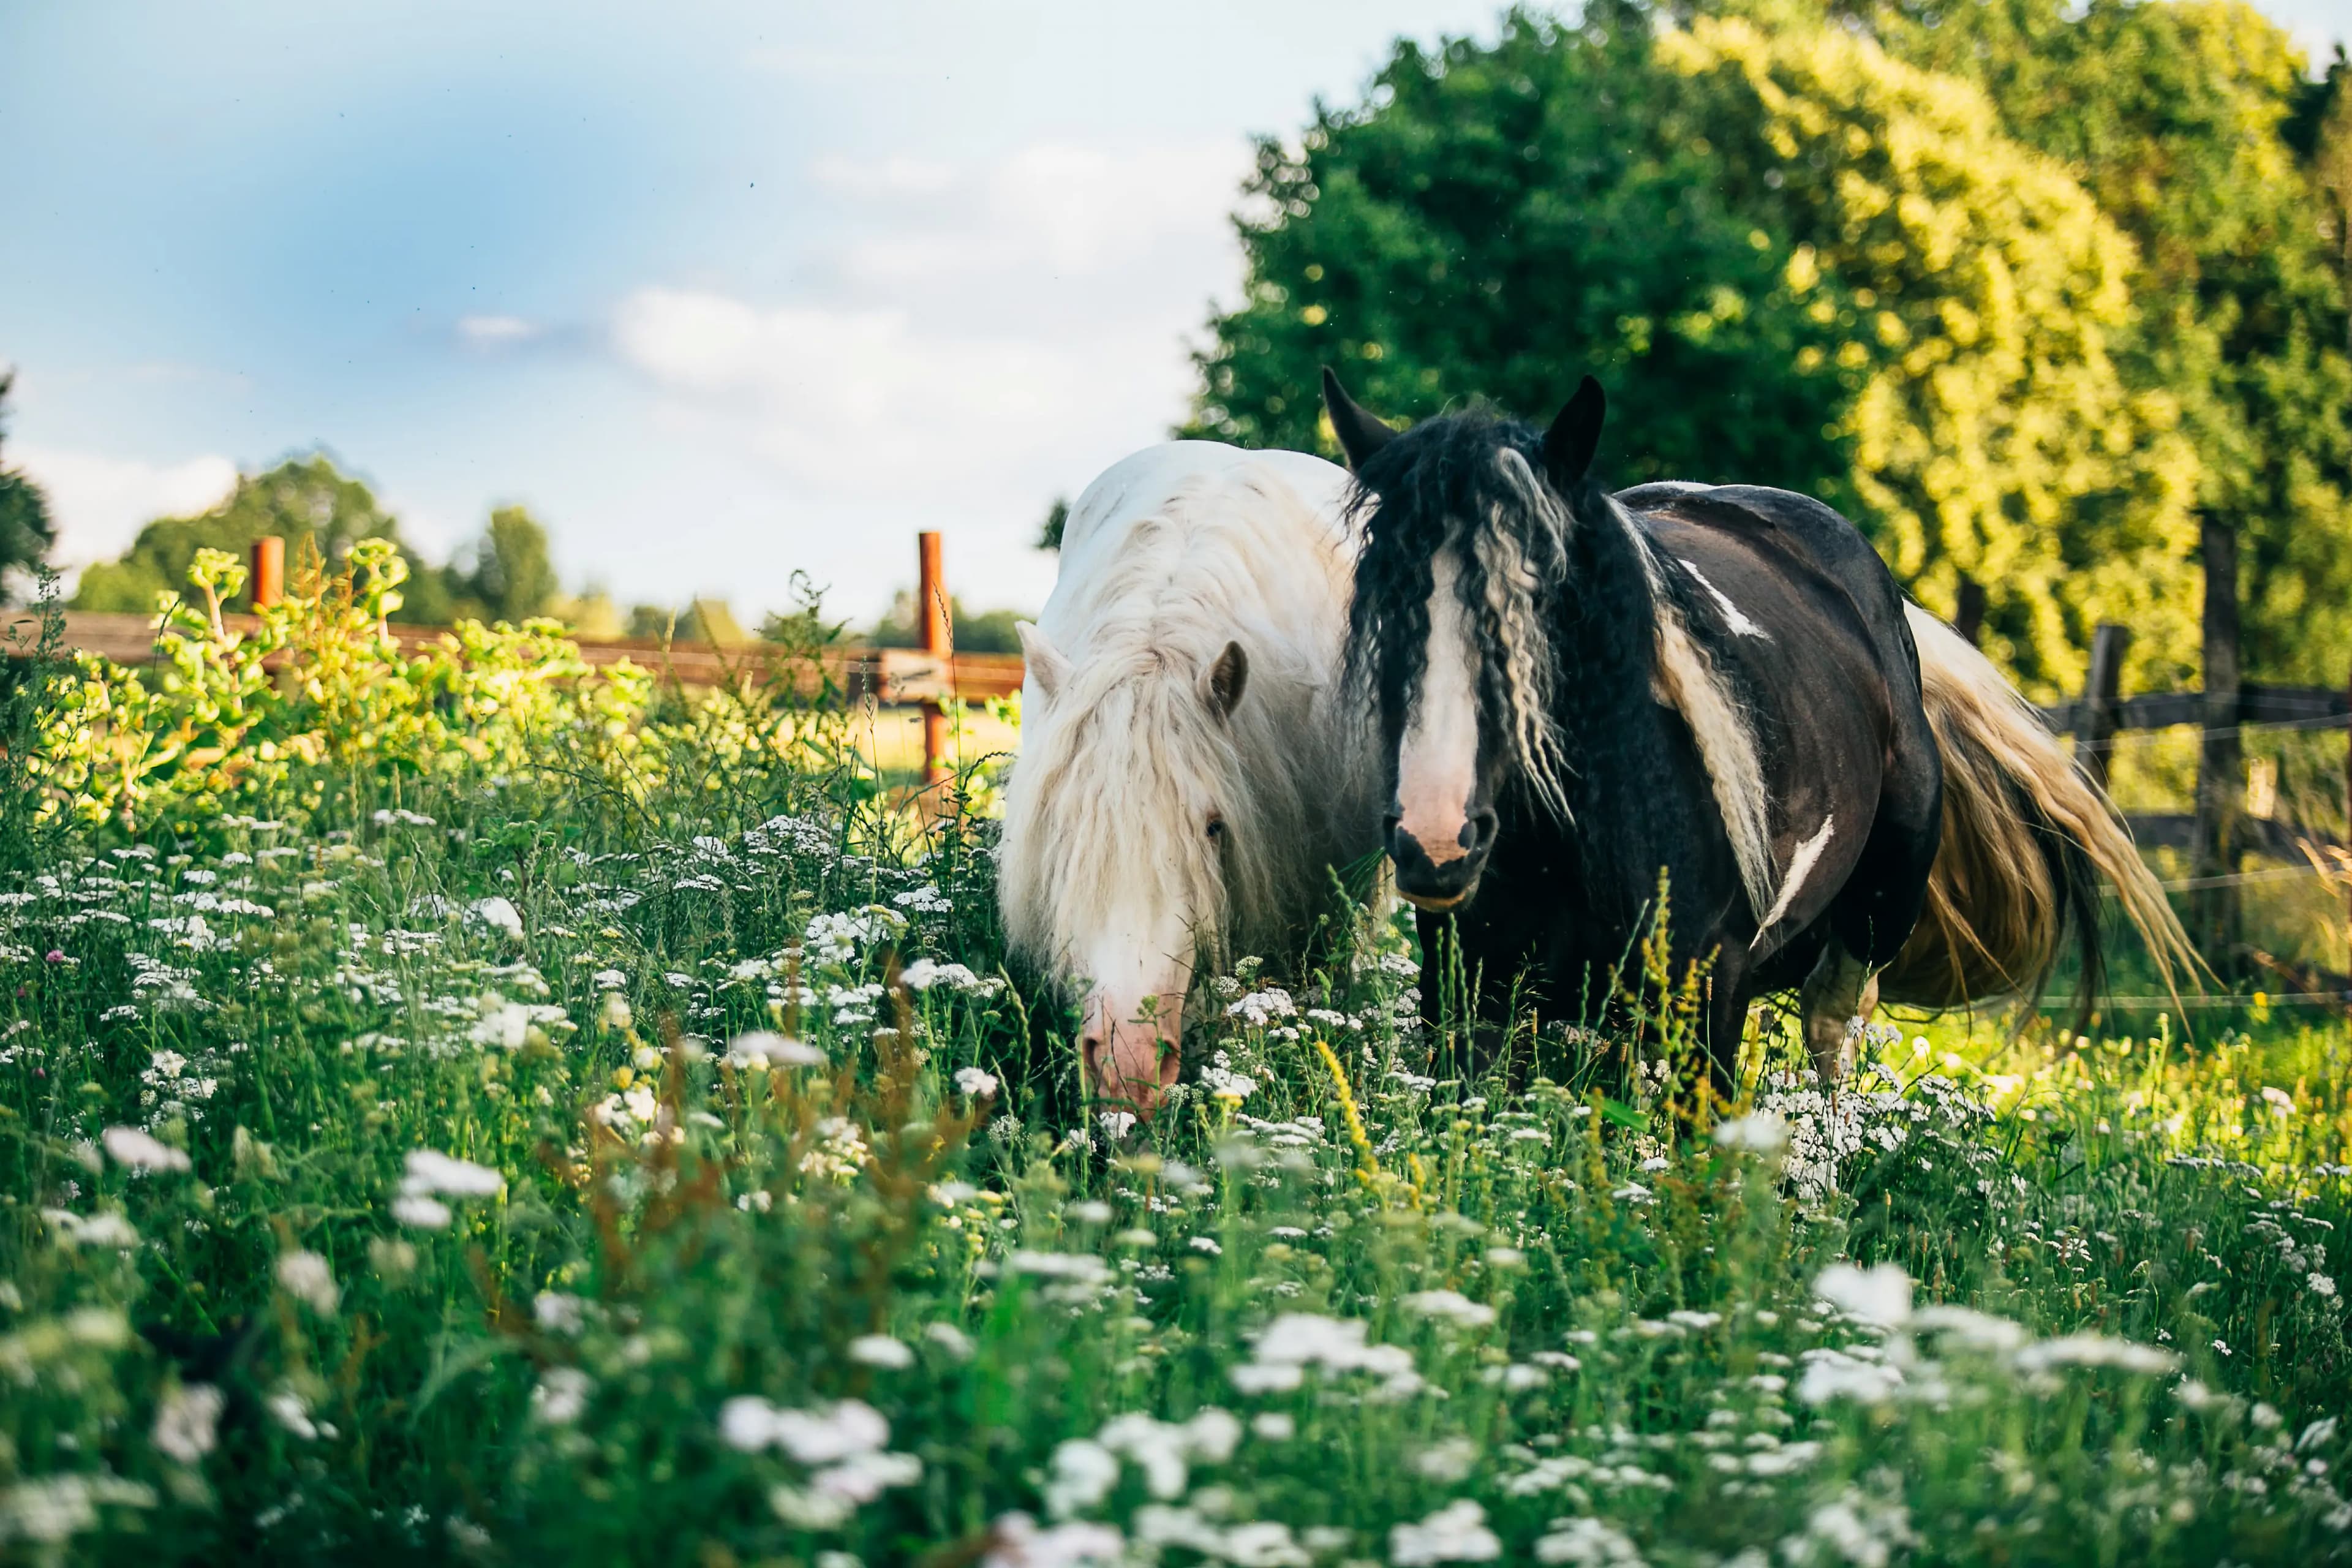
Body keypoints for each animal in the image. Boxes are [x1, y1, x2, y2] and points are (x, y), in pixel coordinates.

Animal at [1326, 374, 1947, 1086]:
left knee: (1831, 1022)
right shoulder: (1469, 998)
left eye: (1541, 600)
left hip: (1884, 905)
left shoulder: (1713, 996)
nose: (1435, 840)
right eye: (1383, 598)